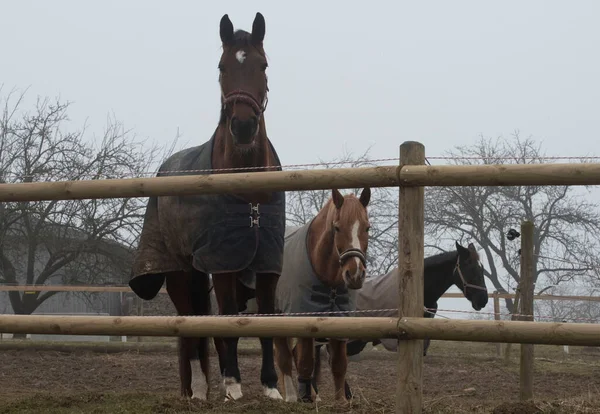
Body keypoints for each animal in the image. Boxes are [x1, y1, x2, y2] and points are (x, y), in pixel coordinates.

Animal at [128, 12, 286, 402]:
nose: (243, 126)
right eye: (221, 66)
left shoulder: (267, 262)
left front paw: (271, 386)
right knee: (191, 324)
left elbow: (265, 318)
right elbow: (228, 320)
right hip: (178, 272)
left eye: (263, 65)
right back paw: (198, 390)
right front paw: (233, 384)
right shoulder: (223, 262)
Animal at [274, 189, 368, 402]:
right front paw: (304, 398)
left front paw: (340, 401)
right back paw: (290, 396)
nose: (355, 275)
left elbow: (339, 365)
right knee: (284, 357)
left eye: (367, 228)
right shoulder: (304, 318)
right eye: (337, 228)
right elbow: (306, 362)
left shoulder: (340, 320)